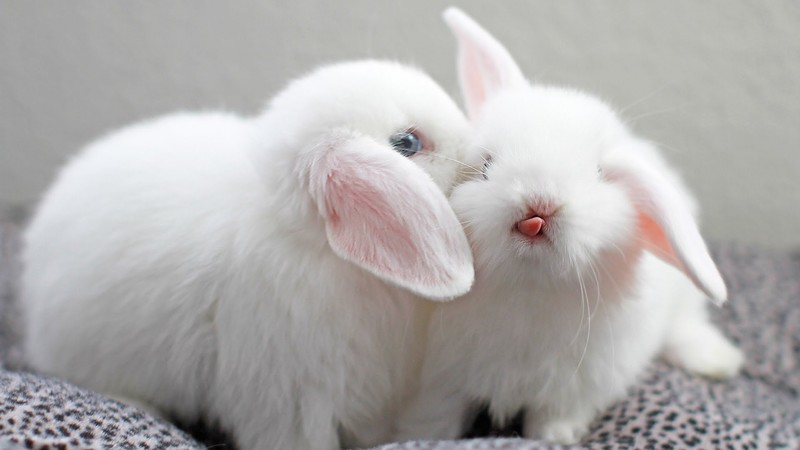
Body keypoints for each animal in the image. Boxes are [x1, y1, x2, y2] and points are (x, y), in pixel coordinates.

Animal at [394, 8, 744, 445]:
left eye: (598, 174)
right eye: (486, 165)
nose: (540, 204)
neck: (527, 289)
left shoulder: (572, 390)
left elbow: (552, 420)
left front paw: (559, 438)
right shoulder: (441, 383)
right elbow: (436, 420)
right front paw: (416, 436)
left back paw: (718, 361)